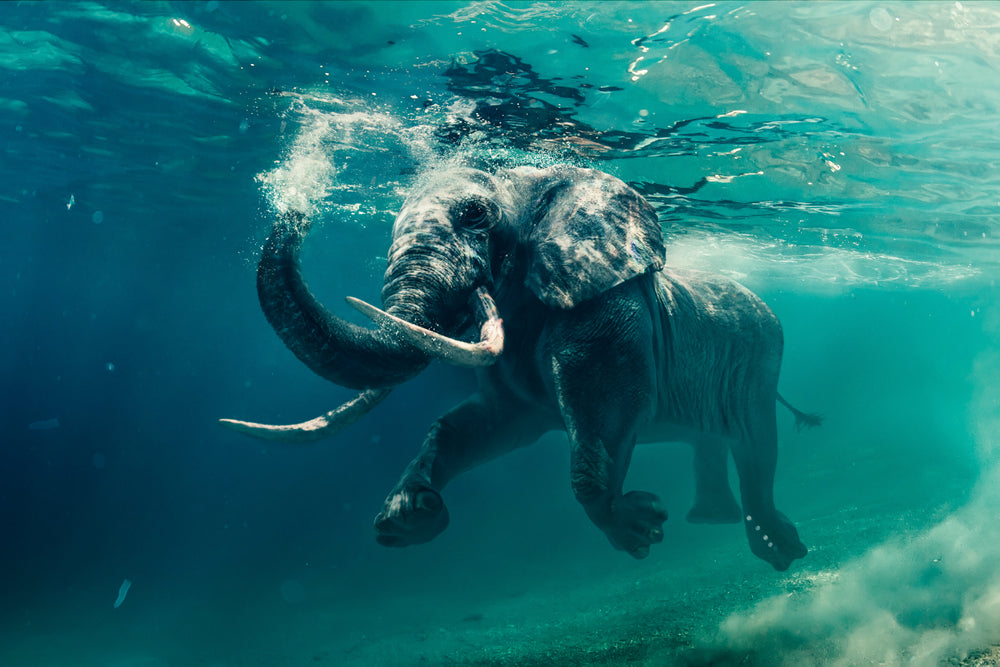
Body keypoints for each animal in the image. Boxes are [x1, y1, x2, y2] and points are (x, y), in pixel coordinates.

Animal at [221, 164, 819, 571]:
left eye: (475, 216)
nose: (298, 205)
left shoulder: (606, 309)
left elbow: (606, 410)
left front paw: (640, 527)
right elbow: (479, 425)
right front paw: (407, 518)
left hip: (762, 358)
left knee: (756, 445)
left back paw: (779, 551)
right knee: (714, 440)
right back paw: (715, 522)